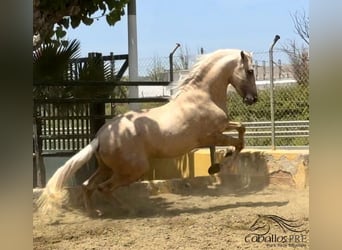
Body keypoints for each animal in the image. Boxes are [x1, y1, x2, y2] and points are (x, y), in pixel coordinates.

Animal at [38, 48, 258, 215]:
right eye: (250, 71)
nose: (253, 99)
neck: (203, 96)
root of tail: (100, 137)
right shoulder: (210, 136)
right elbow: (238, 142)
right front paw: (223, 164)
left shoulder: (222, 127)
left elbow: (241, 128)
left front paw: (222, 163)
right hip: (133, 169)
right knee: (103, 188)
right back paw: (129, 210)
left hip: (106, 168)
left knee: (87, 185)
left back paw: (94, 213)